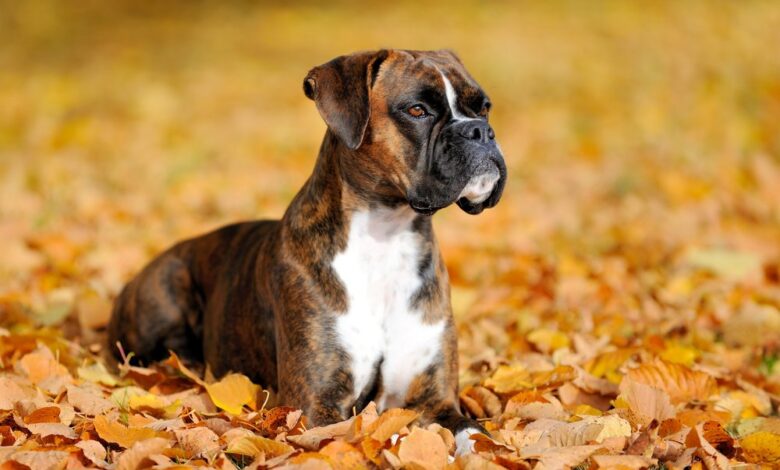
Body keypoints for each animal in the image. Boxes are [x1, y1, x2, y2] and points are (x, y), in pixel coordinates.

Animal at [111, 48, 512, 452]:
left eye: (484, 107)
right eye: (417, 110)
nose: (479, 131)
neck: (386, 235)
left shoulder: (438, 402)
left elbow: (477, 438)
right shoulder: (314, 406)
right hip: (168, 287)